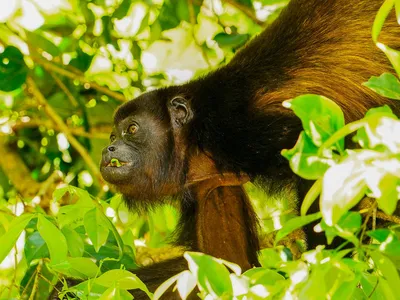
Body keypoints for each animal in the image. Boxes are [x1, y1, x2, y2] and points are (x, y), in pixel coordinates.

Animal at [99, 0, 400, 298]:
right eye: (112, 134)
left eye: (132, 129)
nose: (108, 149)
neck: (197, 139)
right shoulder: (212, 184)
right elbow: (227, 265)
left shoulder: (240, 130)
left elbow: (322, 155)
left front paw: (328, 267)